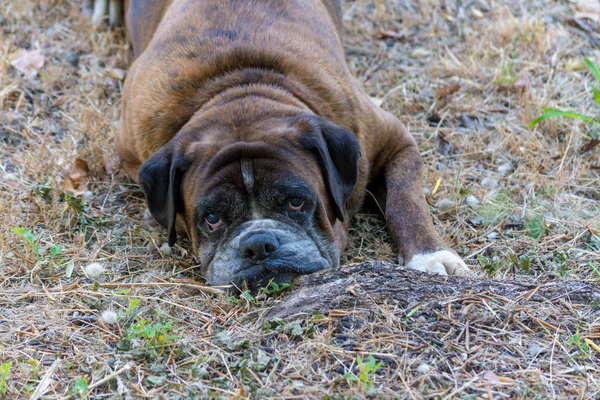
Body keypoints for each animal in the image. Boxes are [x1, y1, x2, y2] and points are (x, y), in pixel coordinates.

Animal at [115, 0, 472, 288]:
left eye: (296, 203)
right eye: (212, 218)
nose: (258, 244)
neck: (239, 86)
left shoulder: (394, 141)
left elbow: (405, 200)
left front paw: (430, 256)